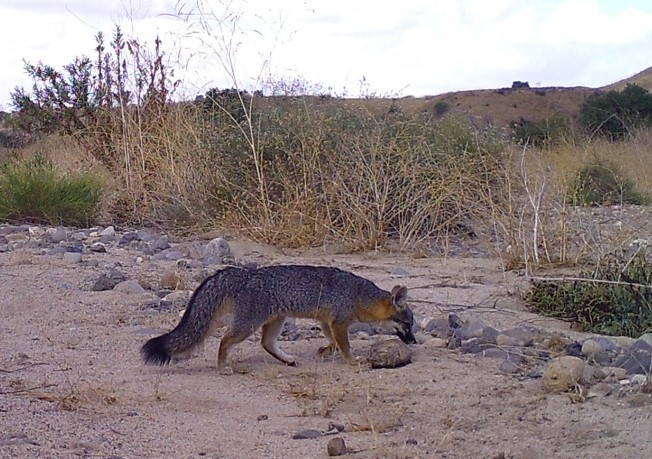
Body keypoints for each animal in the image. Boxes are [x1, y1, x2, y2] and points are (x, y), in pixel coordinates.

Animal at [141, 264, 416, 373]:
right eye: (407, 325)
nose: (413, 342)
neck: (359, 295)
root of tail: (246, 273)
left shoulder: (327, 321)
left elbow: (333, 342)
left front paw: (324, 350)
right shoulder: (338, 322)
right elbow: (344, 345)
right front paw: (352, 361)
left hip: (276, 320)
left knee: (266, 344)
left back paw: (287, 360)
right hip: (248, 325)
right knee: (224, 341)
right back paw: (222, 367)